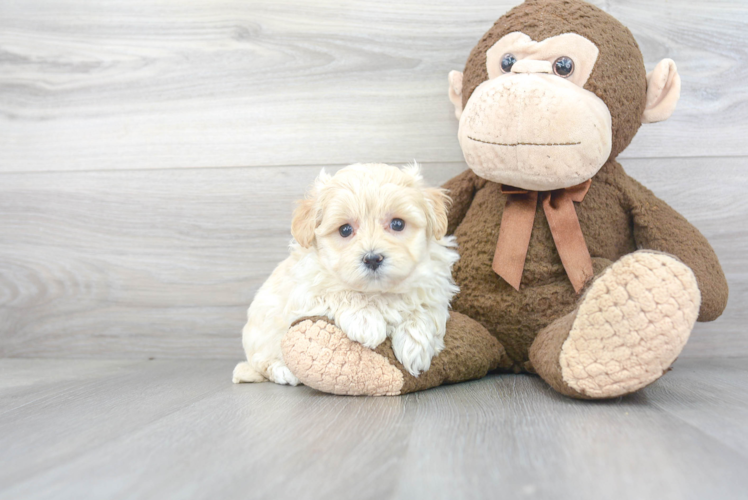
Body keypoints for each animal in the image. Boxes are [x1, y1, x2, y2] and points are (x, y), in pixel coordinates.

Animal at [232, 162, 462, 384]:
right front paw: (367, 321)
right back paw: (283, 371)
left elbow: (424, 309)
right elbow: (340, 292)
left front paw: (416, 346)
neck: (377, 292)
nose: (372, 258)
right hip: (261, 336)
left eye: (397, 224)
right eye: (345, 230)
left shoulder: (434, 288)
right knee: (261, 363)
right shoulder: (306, 291)